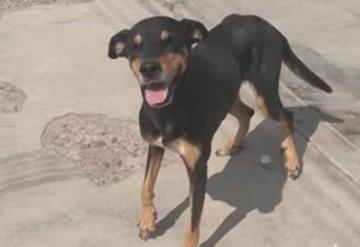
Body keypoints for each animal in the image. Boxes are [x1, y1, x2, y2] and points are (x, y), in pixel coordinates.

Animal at [108, 14, 334, 247]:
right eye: (135, 46)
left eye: (169, 40)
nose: (149, 68)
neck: (169, 107)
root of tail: (265, 24)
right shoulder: (155, 145)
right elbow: (145, 187)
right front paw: (148, 221)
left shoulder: (198, 169)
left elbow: (193, 225)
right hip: (230, 95)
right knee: (247, 113)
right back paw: (233, 146)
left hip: (264, 94)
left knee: (286, 116)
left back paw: (292, 160)